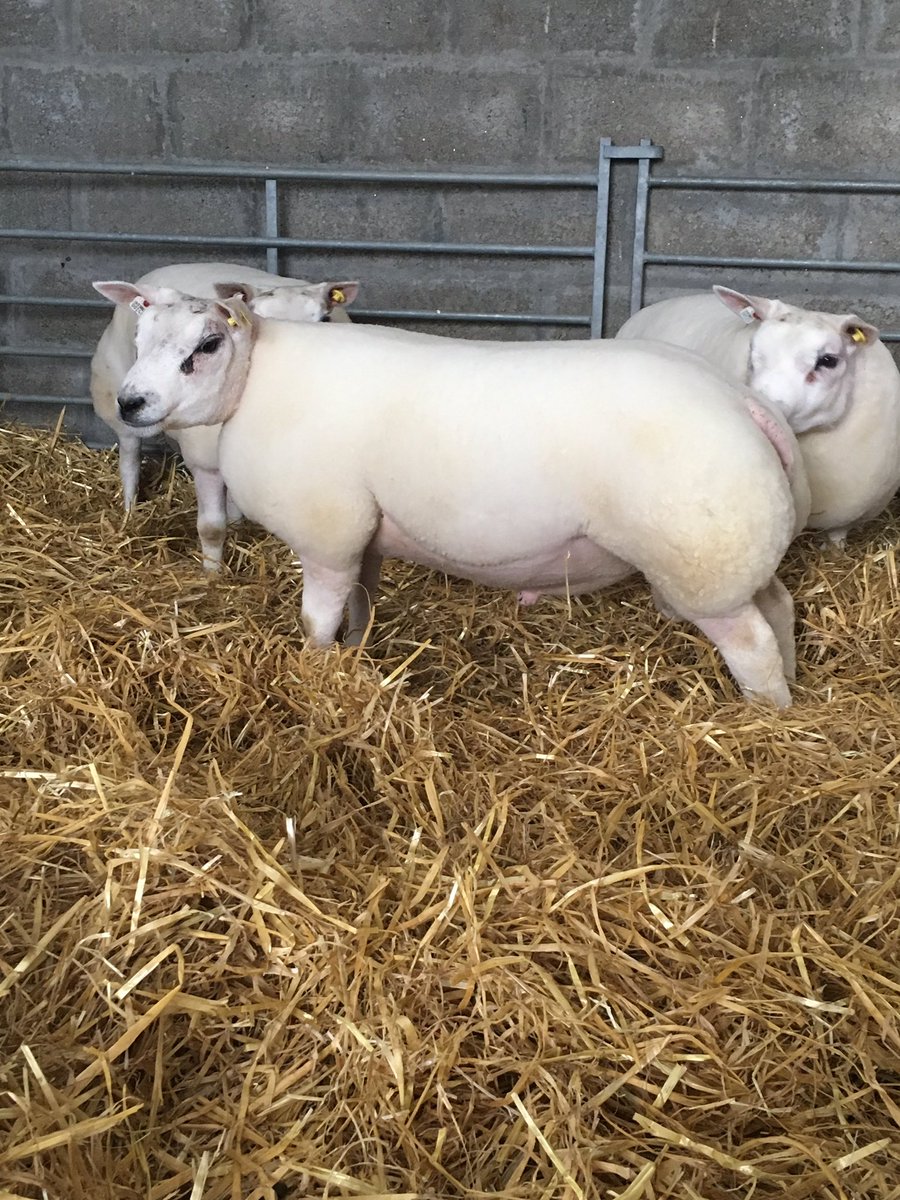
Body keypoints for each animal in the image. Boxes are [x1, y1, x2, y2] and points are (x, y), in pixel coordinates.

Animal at [90, 262, 359, 570]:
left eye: (326, 319)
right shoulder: (203, 463)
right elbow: (211, 528)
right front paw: (212, 573)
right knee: (130, 459)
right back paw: (129, 510)